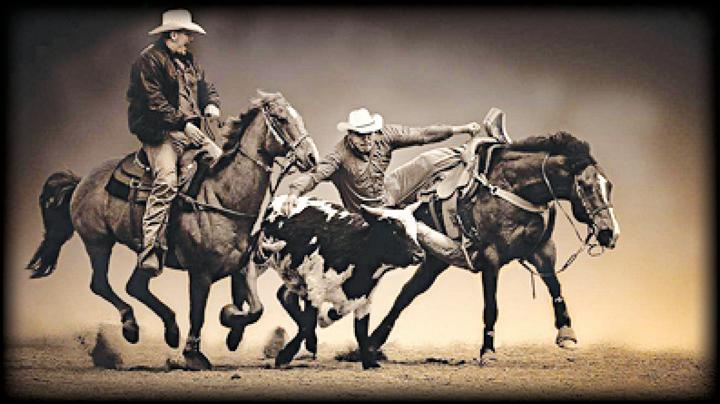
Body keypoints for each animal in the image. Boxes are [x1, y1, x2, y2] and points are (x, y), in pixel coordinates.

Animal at [25, 90, 319, 370]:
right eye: (281, 118)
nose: (311, 157)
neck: (222, 198)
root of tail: (81, 181)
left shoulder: (242, 266)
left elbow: (256, 308)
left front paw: (231, 329)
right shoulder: (199, 274)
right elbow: (198, 313)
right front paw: (194, 354)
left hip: (146, 254)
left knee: (135, 286)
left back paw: (170, 330)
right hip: (98, 243)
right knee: (101, 284)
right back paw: (131, 326)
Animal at [255, 195, 425, 369]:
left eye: (414, 230)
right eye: (394, 230)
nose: (420, 255)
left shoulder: (365, 298)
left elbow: (360, 330)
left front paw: (369, 362)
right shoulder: (315, 290)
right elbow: (309, 323)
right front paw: (284, 356)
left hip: (296, 279)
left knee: (285, 295)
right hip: (261, 261)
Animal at [365, 131, 620, 363]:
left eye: (609, 186)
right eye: (586, 186)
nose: (610, 233)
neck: (513, 188)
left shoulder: (542, 250)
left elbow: (555, 287)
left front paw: (567, 334)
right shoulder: (491, 257)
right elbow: (491, 305)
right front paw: (487, 350)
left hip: (435, 261)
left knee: (408, 292)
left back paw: (372, 344)